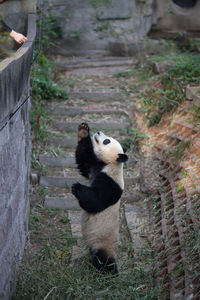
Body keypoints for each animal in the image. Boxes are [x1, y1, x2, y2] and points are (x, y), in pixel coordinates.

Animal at [72, 122, 128, 274]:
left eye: (106, 141)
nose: (98, 132)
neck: (110, 163)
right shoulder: (94, 165)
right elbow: (82, 158)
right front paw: (83, 130)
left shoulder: (111, 182)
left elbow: (96, 201)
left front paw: (76, 187)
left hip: (102, 241)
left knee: (103, 260)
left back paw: (108, 273)